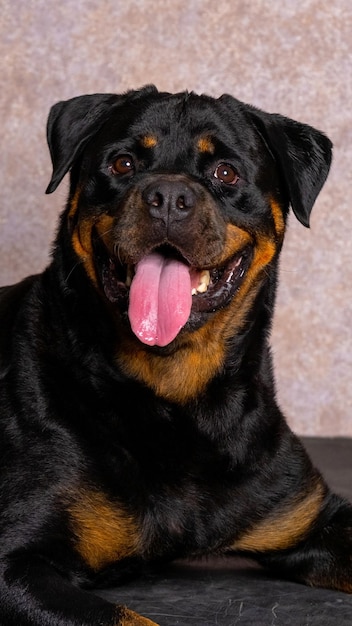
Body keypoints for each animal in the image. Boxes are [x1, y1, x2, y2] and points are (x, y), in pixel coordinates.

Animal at [0, 84, 352, 624]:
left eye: (225, 173)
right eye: (122, 163)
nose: (168, 196)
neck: (177, 396)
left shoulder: (313, 515)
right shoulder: (15, 560)